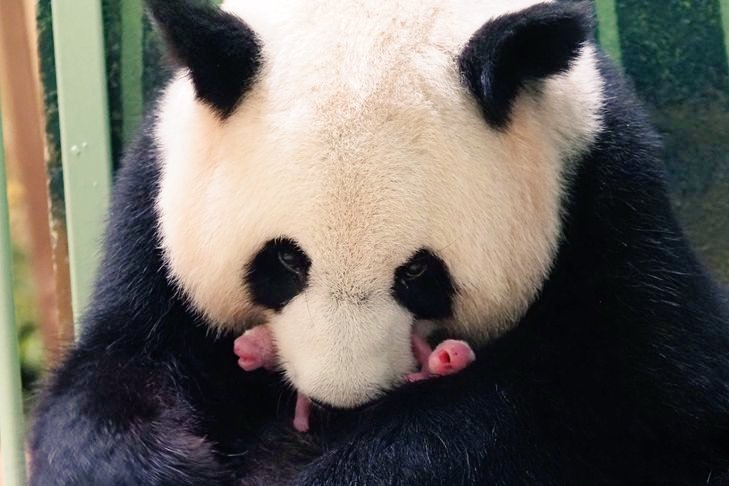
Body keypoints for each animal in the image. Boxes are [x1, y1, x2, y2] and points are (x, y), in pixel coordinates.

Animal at [29, 0, 729, 484]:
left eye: (418, 273)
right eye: (285, 260)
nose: (339, 399)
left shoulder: (609, 210)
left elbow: (635, 411)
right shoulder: (156, 203)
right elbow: (111, 371)